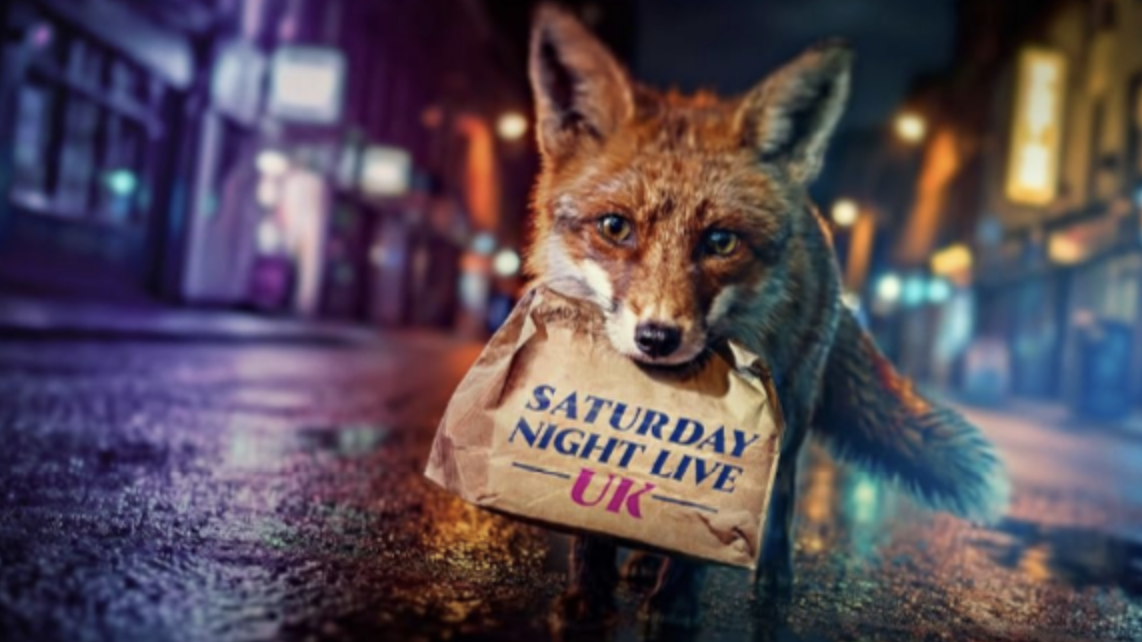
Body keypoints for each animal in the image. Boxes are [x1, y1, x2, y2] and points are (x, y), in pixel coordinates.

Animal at [523, 5, 1009, 627]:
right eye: (615, 227)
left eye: (720, 241)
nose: (657, 337)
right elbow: (596, 514)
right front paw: (589, 595)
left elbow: (708, 527)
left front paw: (674, 606)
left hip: (794, 412)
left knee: (782, 496)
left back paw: (773, 576)